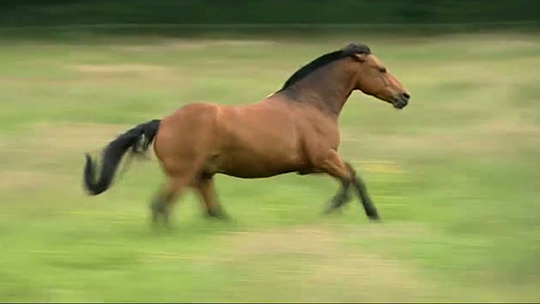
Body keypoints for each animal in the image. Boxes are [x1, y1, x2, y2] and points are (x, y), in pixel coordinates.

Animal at [83, 42, 410, 226]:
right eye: (381, 69)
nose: (404, 97)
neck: (310, 103)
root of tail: (162, 122)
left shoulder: (310, 165)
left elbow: (352, 175)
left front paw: (367, 213)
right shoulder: (323, 158)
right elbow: (351, 178)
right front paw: (340, 209)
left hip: (202, 175)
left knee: (210, 209)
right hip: (183, 174)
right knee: (161, 206)